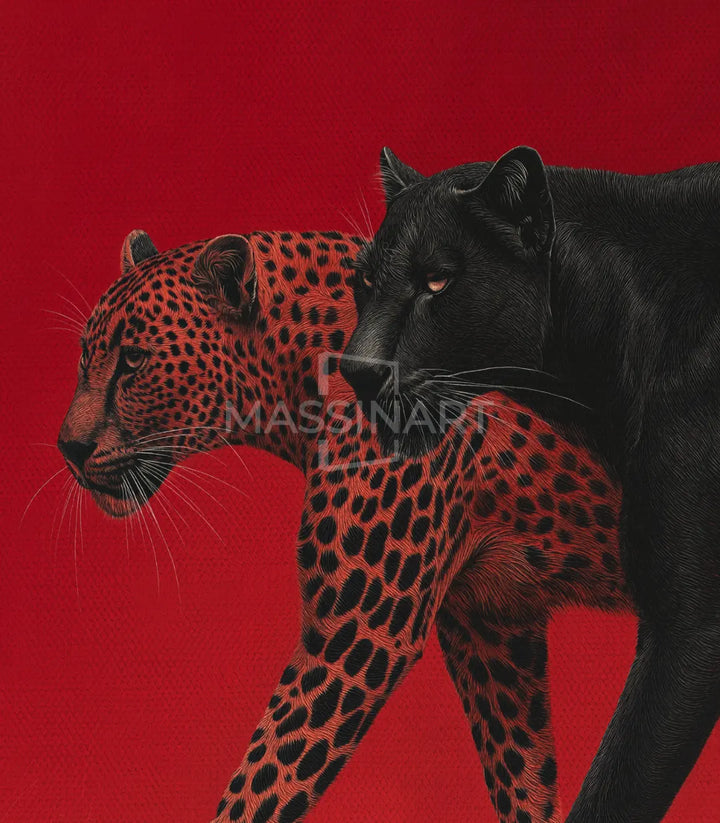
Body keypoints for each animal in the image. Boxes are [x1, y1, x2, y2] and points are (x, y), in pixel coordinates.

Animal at [58, 228, 631, 823]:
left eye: (133, 360)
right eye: (84, 356)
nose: (68, 448)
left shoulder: (355, 636)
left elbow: (261, 786)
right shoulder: (494, 630)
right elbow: (524, 779)